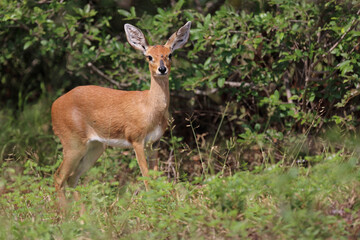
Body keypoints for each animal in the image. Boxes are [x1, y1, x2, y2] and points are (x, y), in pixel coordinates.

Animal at [51, 21, 191, 207]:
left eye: (170, 54)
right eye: (149, 56)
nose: (162, 69)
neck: (150, 109)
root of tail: (54, 105)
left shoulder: (154, 142)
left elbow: (156, 177)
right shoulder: (136, 138)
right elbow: (146, 178)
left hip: (95, 146)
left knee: (72, 178)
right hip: (72, 142)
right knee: (59, 177)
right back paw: (66, 213)